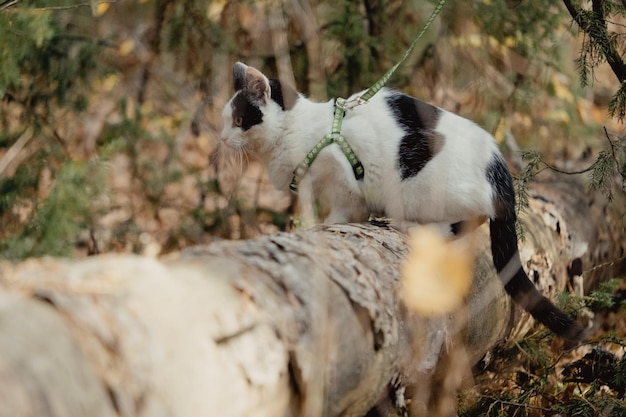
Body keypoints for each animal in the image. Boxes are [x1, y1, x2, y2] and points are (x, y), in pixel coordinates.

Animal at [221, 59, 584, 344]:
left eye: (238, 121)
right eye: (227, 120)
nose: (222, 138)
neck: (296, 132)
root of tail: (499, 168)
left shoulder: (342, 178)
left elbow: (344, 209)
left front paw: (323, 225)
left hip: (419, 186)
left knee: (467, 219)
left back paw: (405, 224)